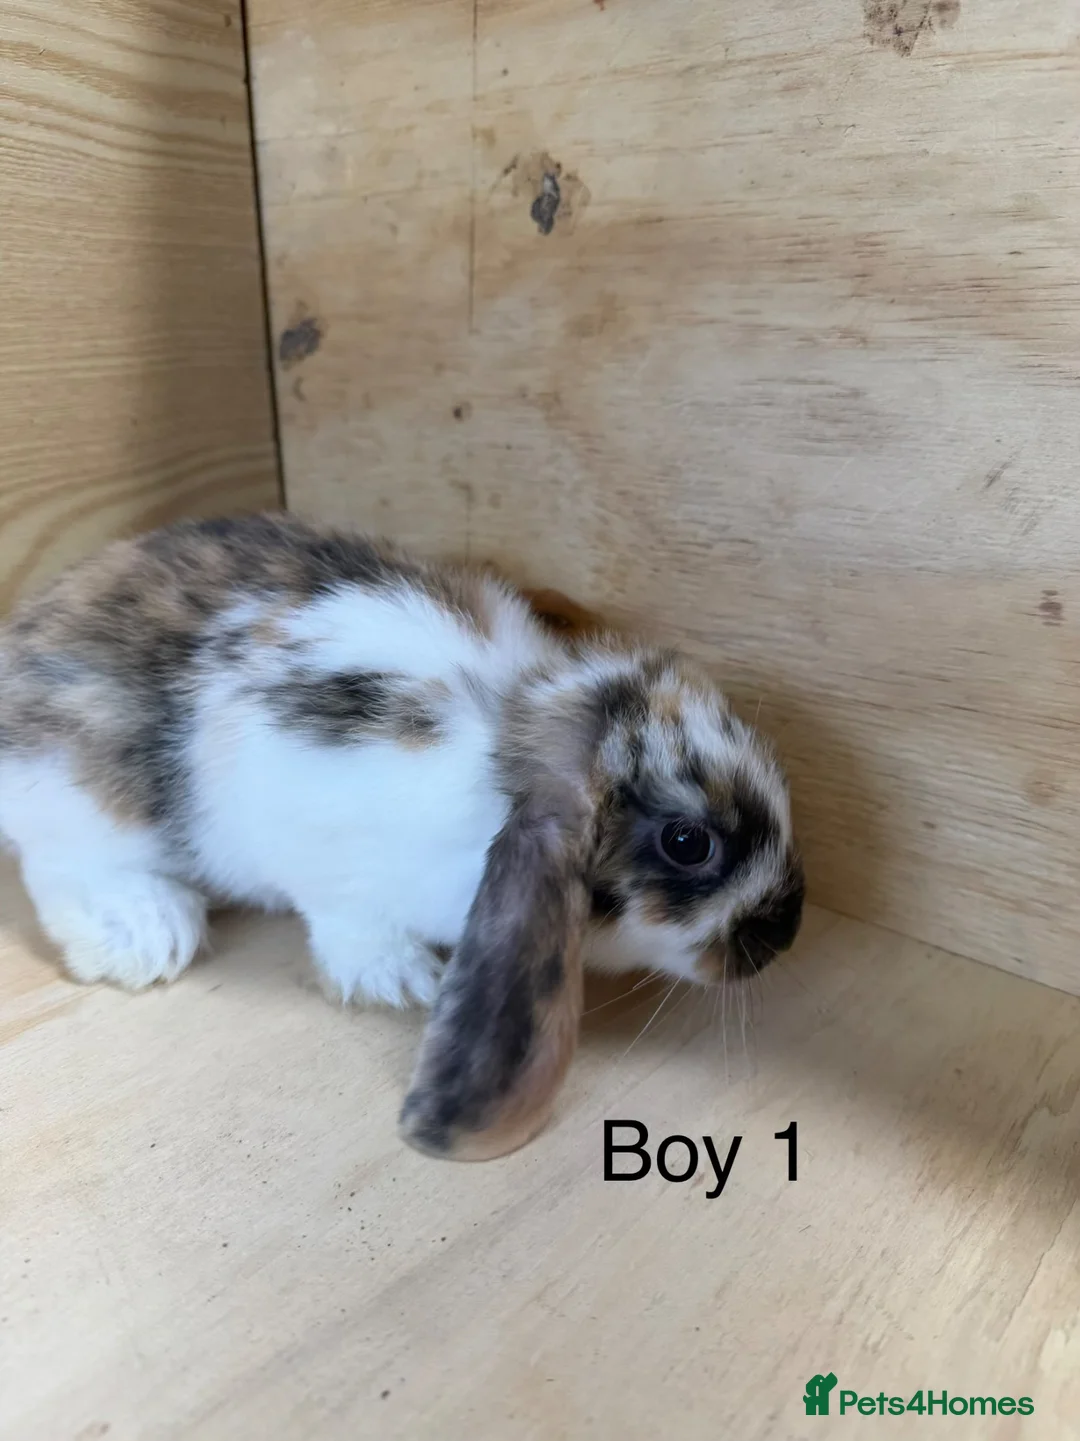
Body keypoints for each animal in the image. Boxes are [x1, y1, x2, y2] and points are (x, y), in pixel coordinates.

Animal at [0, 513, 804, 1159]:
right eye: (688, 843)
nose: (784, 932)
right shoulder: (319, 843)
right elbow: (345, 920)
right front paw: (401, 978)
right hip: (79, 796)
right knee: (60, 868)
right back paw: (146, 934)